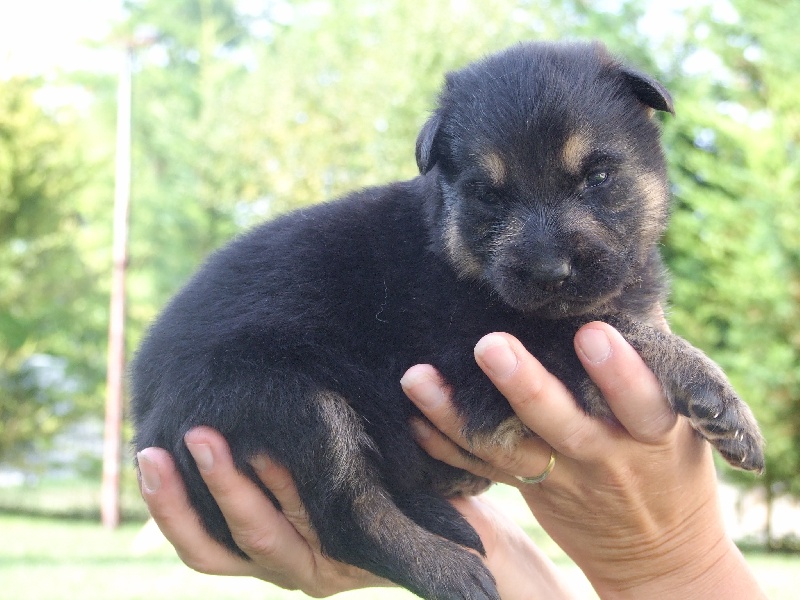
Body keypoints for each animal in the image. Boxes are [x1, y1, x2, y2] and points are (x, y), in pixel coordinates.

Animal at [132, 40, 764, 600]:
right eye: (490, 195)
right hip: (290, 398)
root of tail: (146, 421)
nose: (551, 272)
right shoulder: (485, 355)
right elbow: (604, 334)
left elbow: (629, 324)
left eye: (599, 178)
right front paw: (717, 394)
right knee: (347, 516)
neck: (453, 250)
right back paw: (449, 571)